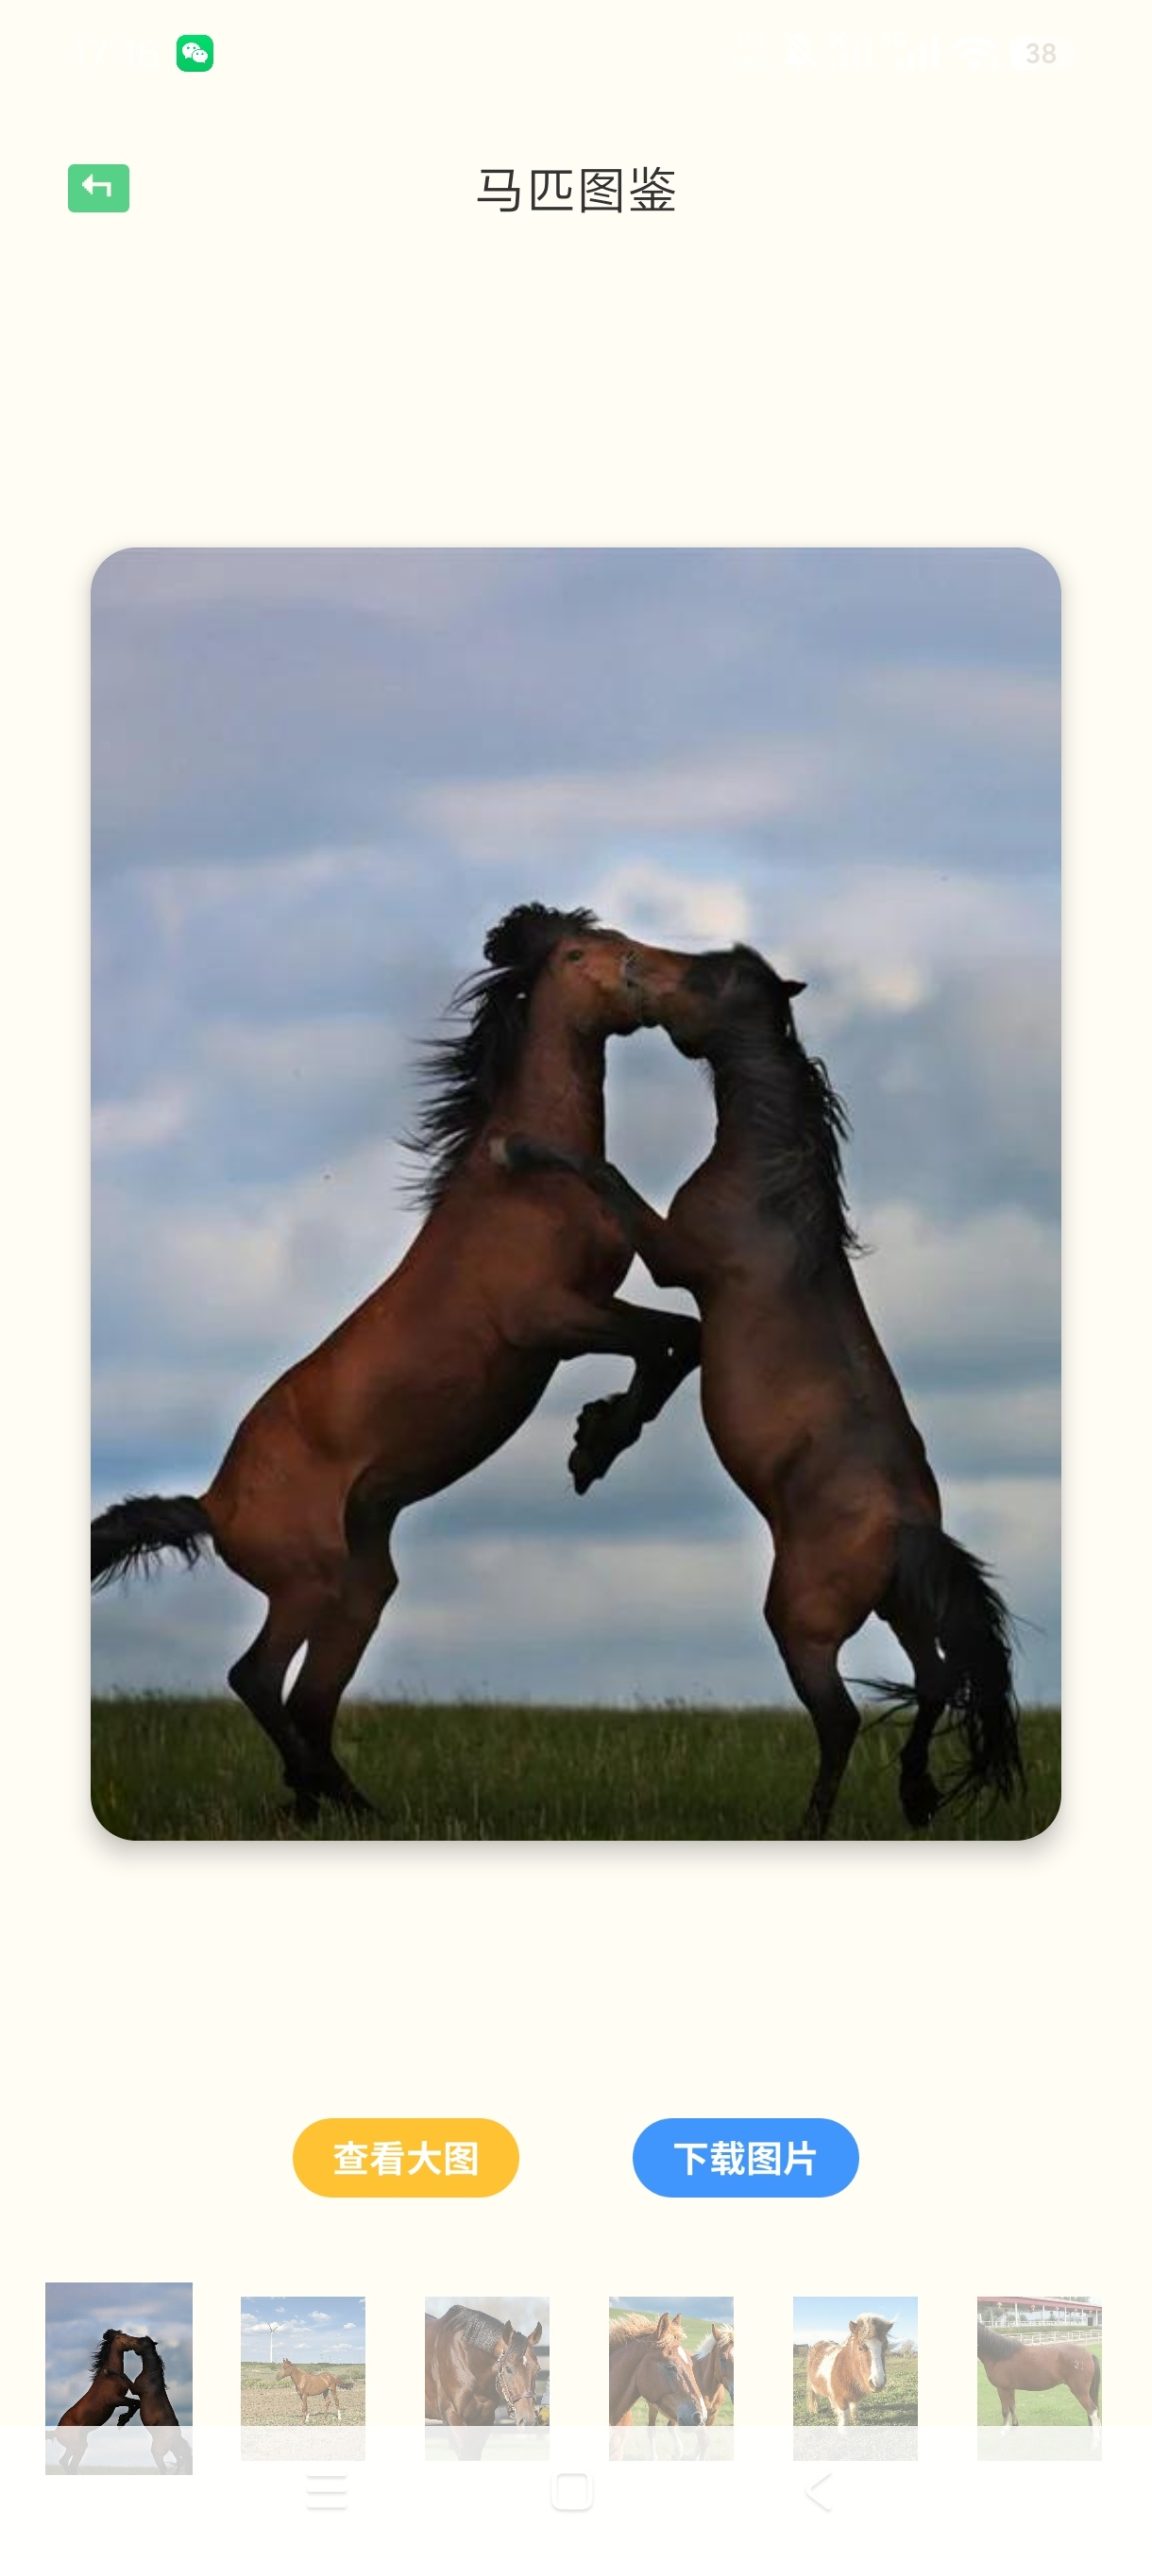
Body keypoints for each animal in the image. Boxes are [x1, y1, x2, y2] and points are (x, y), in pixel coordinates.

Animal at [54, 2329, 141, 2467]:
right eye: (123, 2337)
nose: (138, 2342)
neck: (110, 2376)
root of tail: (56, 2432)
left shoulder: (121, 2397)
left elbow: (135, 2403)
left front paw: (122, 2419)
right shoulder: (115, 2400)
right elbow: (136, 2403)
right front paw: (122, 2420)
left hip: (78, 2446)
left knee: (66, 2462)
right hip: (76, 2446)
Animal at [91, 905, 701, 1820]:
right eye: (584, 952)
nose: (668, 980)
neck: (524, 1182)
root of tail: (213, 1503)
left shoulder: (596, 1305)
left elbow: (679, 1339)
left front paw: (597, 1440)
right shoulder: (552, 1320)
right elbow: (669, 1339)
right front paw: (595, 1444)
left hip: (360, 1587)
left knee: (309, 1698)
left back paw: (339, 1804)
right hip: (306, 1581)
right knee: (257, 1678)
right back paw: (319, 1796)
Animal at [117, 2335, 192, 2469]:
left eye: (140, 2341)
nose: (130, 2343)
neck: (151, 2376)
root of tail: (176, 2436)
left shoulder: (135, 2389)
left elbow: (125, 2377)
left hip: (157, 2452)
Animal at [497, 939, 1021, 1838]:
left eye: (699, 975)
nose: (638, 972)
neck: (768, 1193)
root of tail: (908, 1529)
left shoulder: (672, 1259)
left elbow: (602, 1173)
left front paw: (517, 1149)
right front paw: (593, 1441)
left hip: (802, 1624)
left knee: (841, 1717)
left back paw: (815, 1823)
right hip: (904, 1610)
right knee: (933, 1681)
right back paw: (916, 1794)